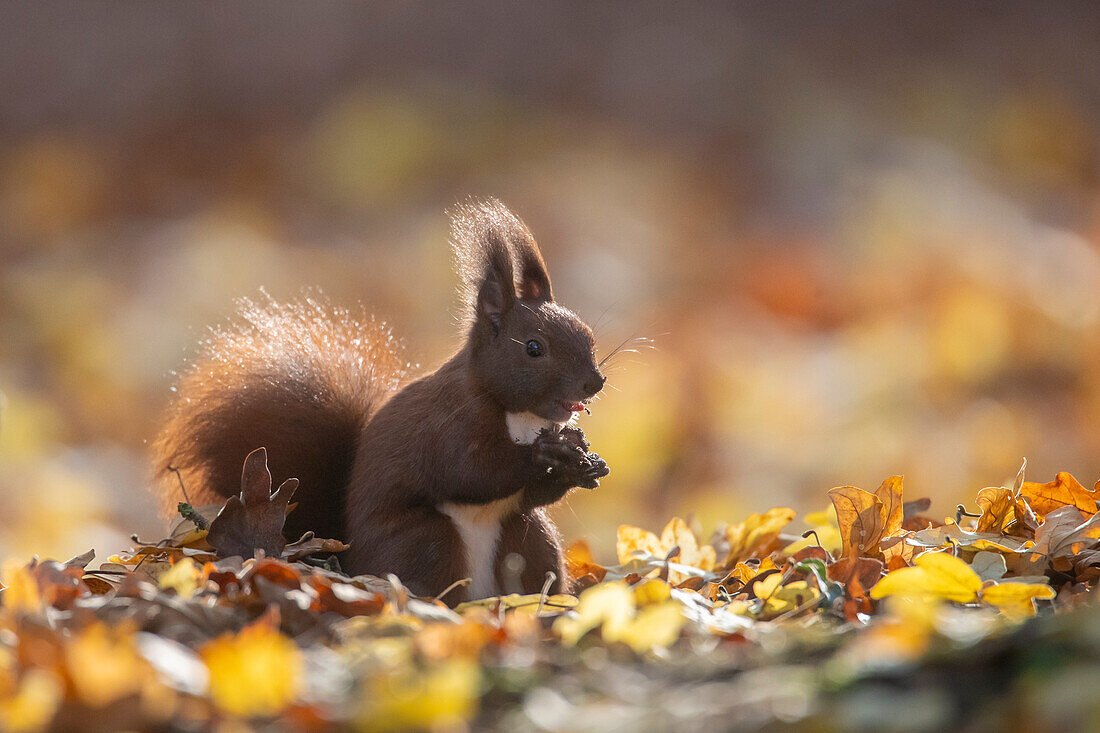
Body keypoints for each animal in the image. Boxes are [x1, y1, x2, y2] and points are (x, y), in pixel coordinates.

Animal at [152, 200, 611, 598]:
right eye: (534, 348)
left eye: (588, 334)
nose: (595, 382)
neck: (519, 415)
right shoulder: (449, 425)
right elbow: (471, 473)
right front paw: (547, 454)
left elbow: (532, 495)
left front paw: (586, 462)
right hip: (426, 540)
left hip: (528, 537)